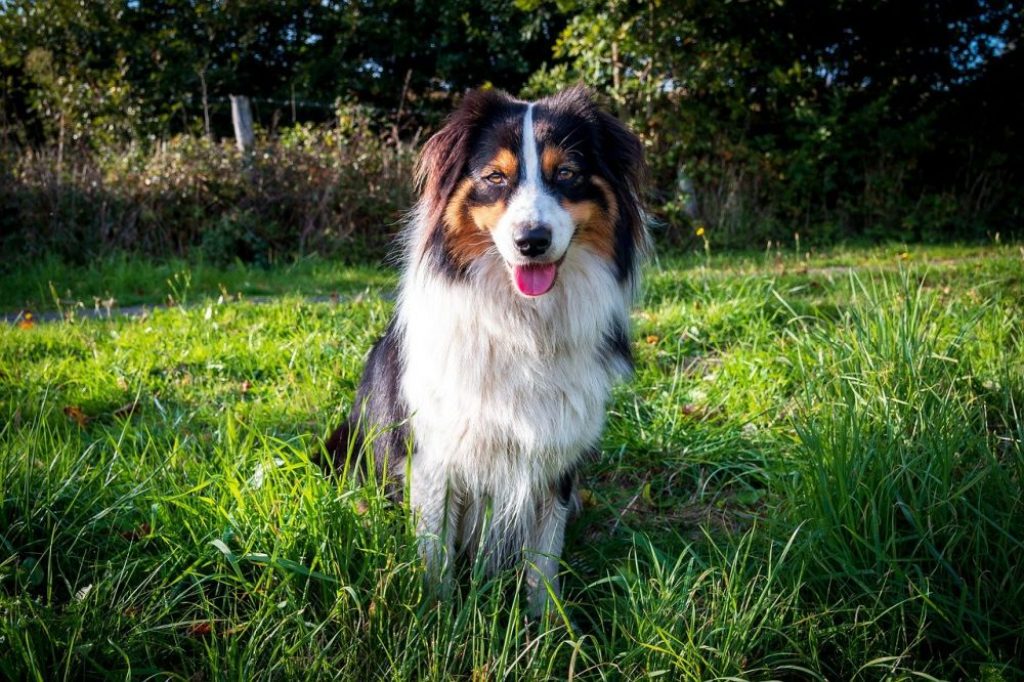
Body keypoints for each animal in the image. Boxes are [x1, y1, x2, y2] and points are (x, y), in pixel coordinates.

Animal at [327, 83, 647, 610]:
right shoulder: (433, 459)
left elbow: (544, 562)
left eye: (567, 173)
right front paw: (439, 619)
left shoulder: (557, 460)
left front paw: (549, 627)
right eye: (495, 177)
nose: (531, 241)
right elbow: (435, 560)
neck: (523, 324)